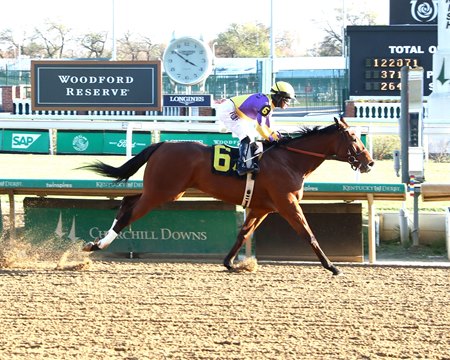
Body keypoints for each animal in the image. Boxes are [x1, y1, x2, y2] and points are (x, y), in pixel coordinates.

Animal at [82, 118, 374, 276]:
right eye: (352, 137)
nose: (369, 162)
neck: (290, 160)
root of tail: (162, 144)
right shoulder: (287, 203)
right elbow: (308, 233)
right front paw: (332, 266)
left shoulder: (262, 207)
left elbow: (243, 234)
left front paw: (230, 262)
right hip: (162, 191)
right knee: (129, 211)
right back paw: (96, 246)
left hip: (163, 190)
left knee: (127, 201)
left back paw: (95, 243)